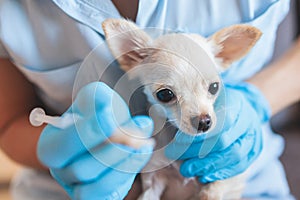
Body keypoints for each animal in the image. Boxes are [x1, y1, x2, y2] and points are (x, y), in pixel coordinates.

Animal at [102, 19, 262, 200]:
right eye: (165, 94)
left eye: (214, 87)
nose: (204, 122)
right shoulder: (154, 180)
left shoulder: (219, 175)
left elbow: (213, 191)